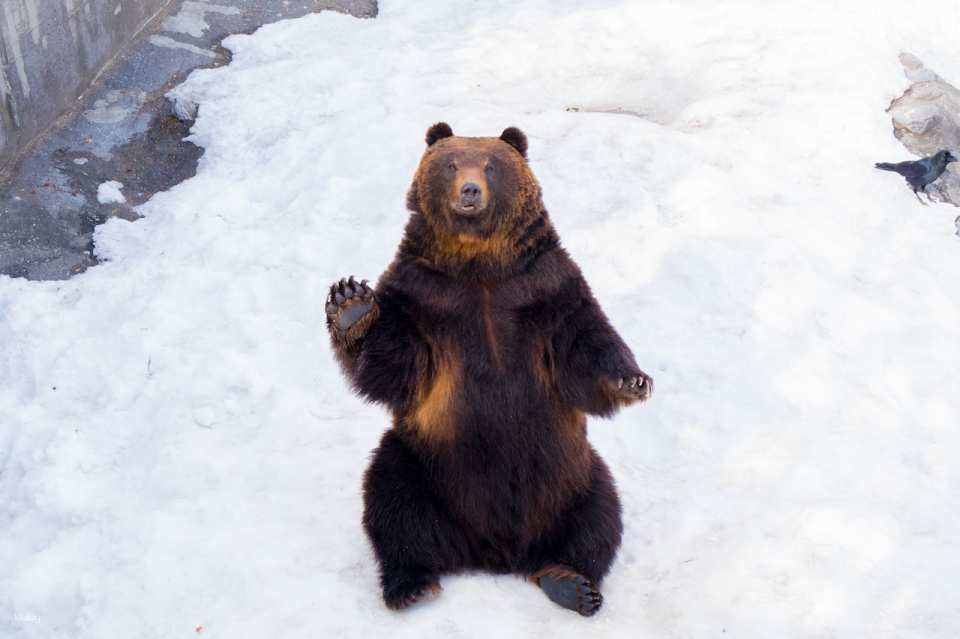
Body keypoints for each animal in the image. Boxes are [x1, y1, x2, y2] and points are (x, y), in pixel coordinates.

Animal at [325, 122, 653, 616]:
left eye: (491, 165)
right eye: (451, 163)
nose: (470, 191)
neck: (478, 263)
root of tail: (496, 553)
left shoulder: (545, 288)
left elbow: (585, 347)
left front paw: (633, 380)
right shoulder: (424, 296)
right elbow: (397, 366)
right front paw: (350, 304)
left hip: (571, 474)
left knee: (598, 515)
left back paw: (570, 581)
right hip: (425, 466)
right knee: (392, 499)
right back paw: (410, 583)